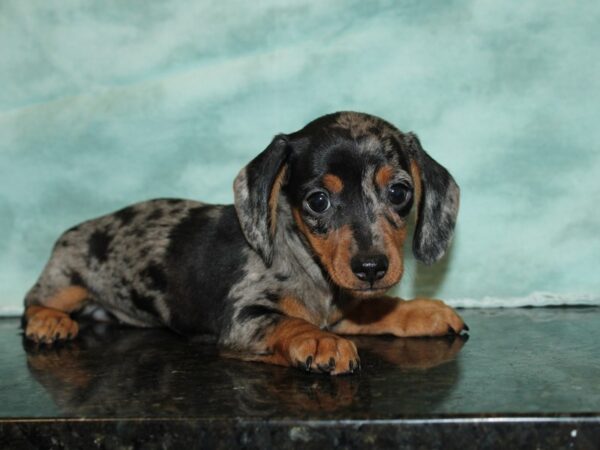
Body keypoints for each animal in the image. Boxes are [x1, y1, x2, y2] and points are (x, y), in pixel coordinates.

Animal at [22, 112, 464, 376]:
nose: (371, 268)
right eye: (318, 200)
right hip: (66, 280)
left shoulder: (343, 308)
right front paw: (320, 341)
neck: (307, 266)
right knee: (33, 299)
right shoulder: (243, 319)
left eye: (399, 192)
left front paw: (421, 311)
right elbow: (289, 321)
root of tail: (80, 229)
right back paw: (48, 322)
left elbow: (372, 307)